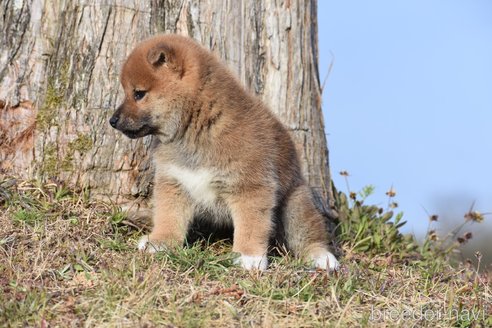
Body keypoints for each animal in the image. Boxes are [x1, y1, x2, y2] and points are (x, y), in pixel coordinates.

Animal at [109, 35, 338, 272]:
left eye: (138, 94)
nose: (112, 121)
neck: (198, 126)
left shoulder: (251, 187)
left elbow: (252, 224)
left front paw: (249, 256)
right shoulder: (174, 182)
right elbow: (168, 217)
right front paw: (160, 242)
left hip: (295, 202)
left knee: (309, 233)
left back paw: (321, 256)